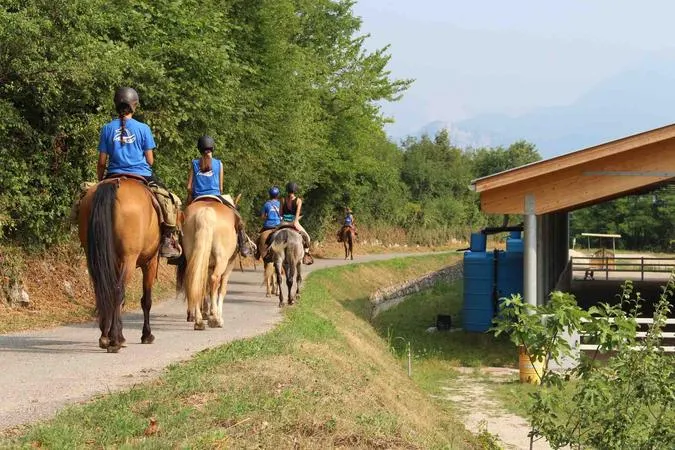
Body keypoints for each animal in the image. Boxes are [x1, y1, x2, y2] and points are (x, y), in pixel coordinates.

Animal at [77, 177, 160, 353]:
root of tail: (113, 183)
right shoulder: (150, 262)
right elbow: (146, 300)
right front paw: (146, 335)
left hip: (95, 259)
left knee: (103, 291)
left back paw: (105, 337)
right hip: (129, 259)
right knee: (117, 291)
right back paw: (115, 340)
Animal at [177, 198, 238, 330]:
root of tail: (206, 211)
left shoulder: (208, 267)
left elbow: (205, 288)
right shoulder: (228, 268)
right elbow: (221, 290)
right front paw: (217, 316)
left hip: (193, 255)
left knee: (195, 281)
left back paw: (199, 321)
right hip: (222, 260)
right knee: (214, 280)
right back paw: (214, 320)